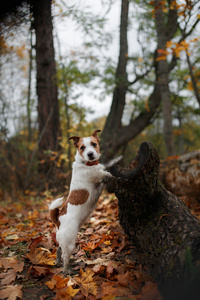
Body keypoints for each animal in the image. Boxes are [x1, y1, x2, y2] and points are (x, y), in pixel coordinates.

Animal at [48, 129, 111, 274]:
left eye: (94, 144)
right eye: (82, 147)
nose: (90, 154)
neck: (86, 164)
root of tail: (58, 220)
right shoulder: (100, 177)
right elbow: (107, 174)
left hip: (63, 241)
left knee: (59, 250)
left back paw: (57, 262)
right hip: (70, 242)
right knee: (65, 256)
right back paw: (67, 270)